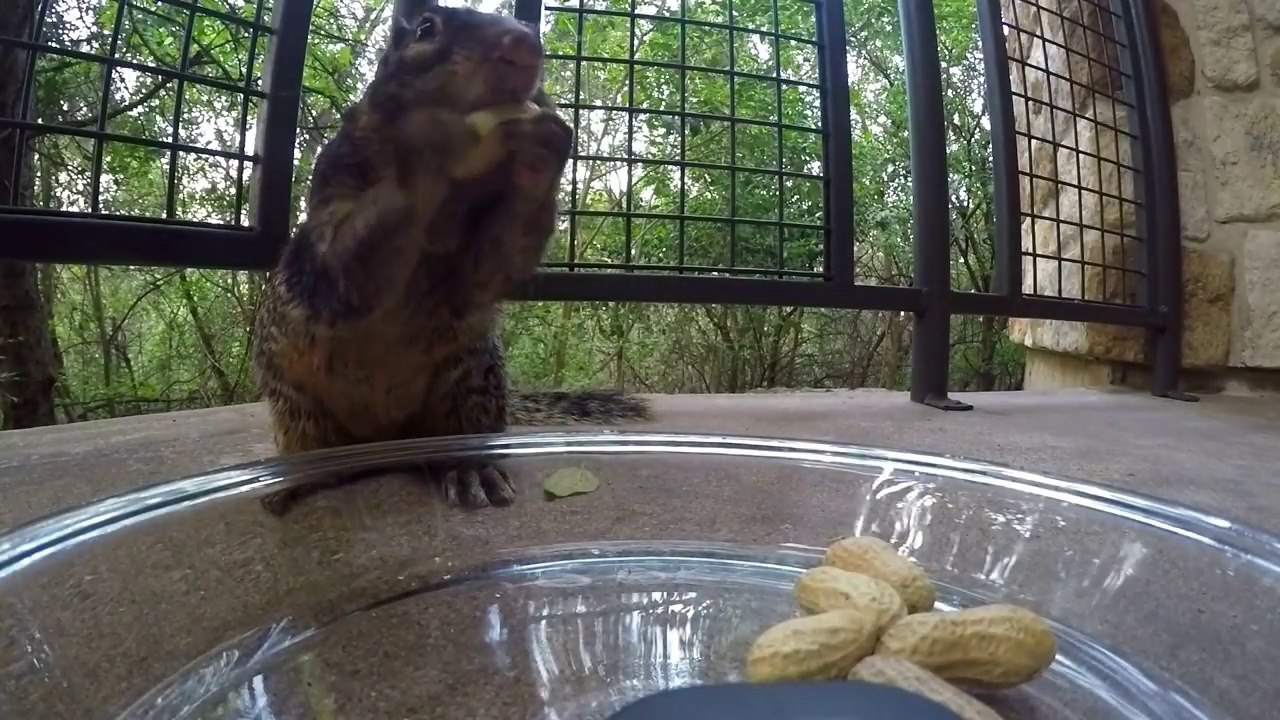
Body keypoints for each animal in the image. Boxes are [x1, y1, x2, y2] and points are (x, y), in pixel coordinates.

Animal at [251, 0, 650, 515]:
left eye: (525, 25)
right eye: (426, 29)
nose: (524, 45)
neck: (455, 189)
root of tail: (384, 443)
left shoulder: (476, 259)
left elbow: (488, 270)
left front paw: (546, 144)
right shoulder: (332, 195)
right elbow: (344, 269)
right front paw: (431, 140)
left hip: (467, 388)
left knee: (451, 444)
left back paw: (469, 470)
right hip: (297, 410)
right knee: (322, 459)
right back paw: (293, 484)